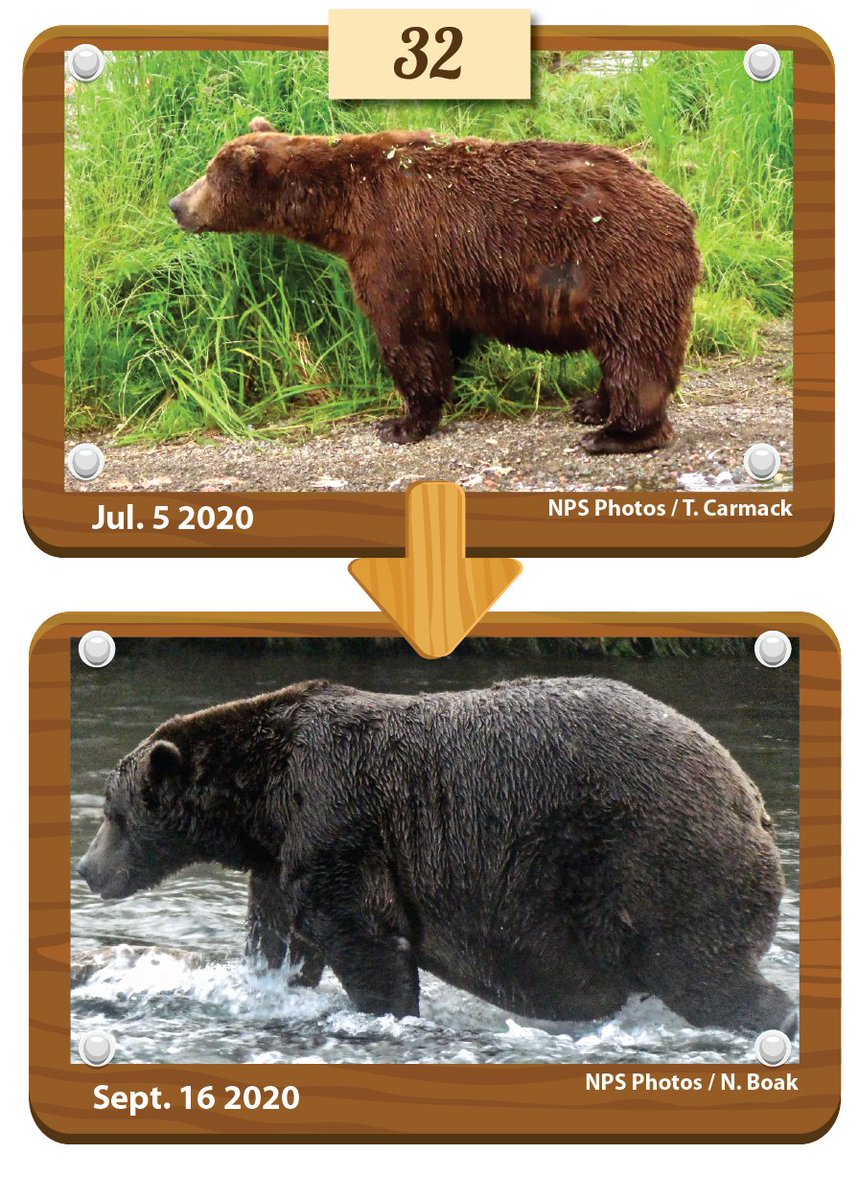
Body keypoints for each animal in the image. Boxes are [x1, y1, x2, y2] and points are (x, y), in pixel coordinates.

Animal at [76, 676, 795, 1038]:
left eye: (114, 813)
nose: (86, 868)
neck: (265, 796)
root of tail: (750, 799)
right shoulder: (281, 857)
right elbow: (278, 939)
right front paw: (264, 983)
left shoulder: (340, 819)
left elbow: (362, 934)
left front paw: (386, 1013)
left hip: (662, 864)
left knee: (703, 974)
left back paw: (771, 1021)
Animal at [169, 120, 702, 452]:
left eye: (209, 176)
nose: (176, 204)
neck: (341, 208)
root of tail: (682, 209)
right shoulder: (444, 274)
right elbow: (448, 335)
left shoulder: (394, 245)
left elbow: (405, 334)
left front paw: (401, 423)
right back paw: (591, 406)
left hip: (618, 265)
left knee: (636, 352)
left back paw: (617, 434)